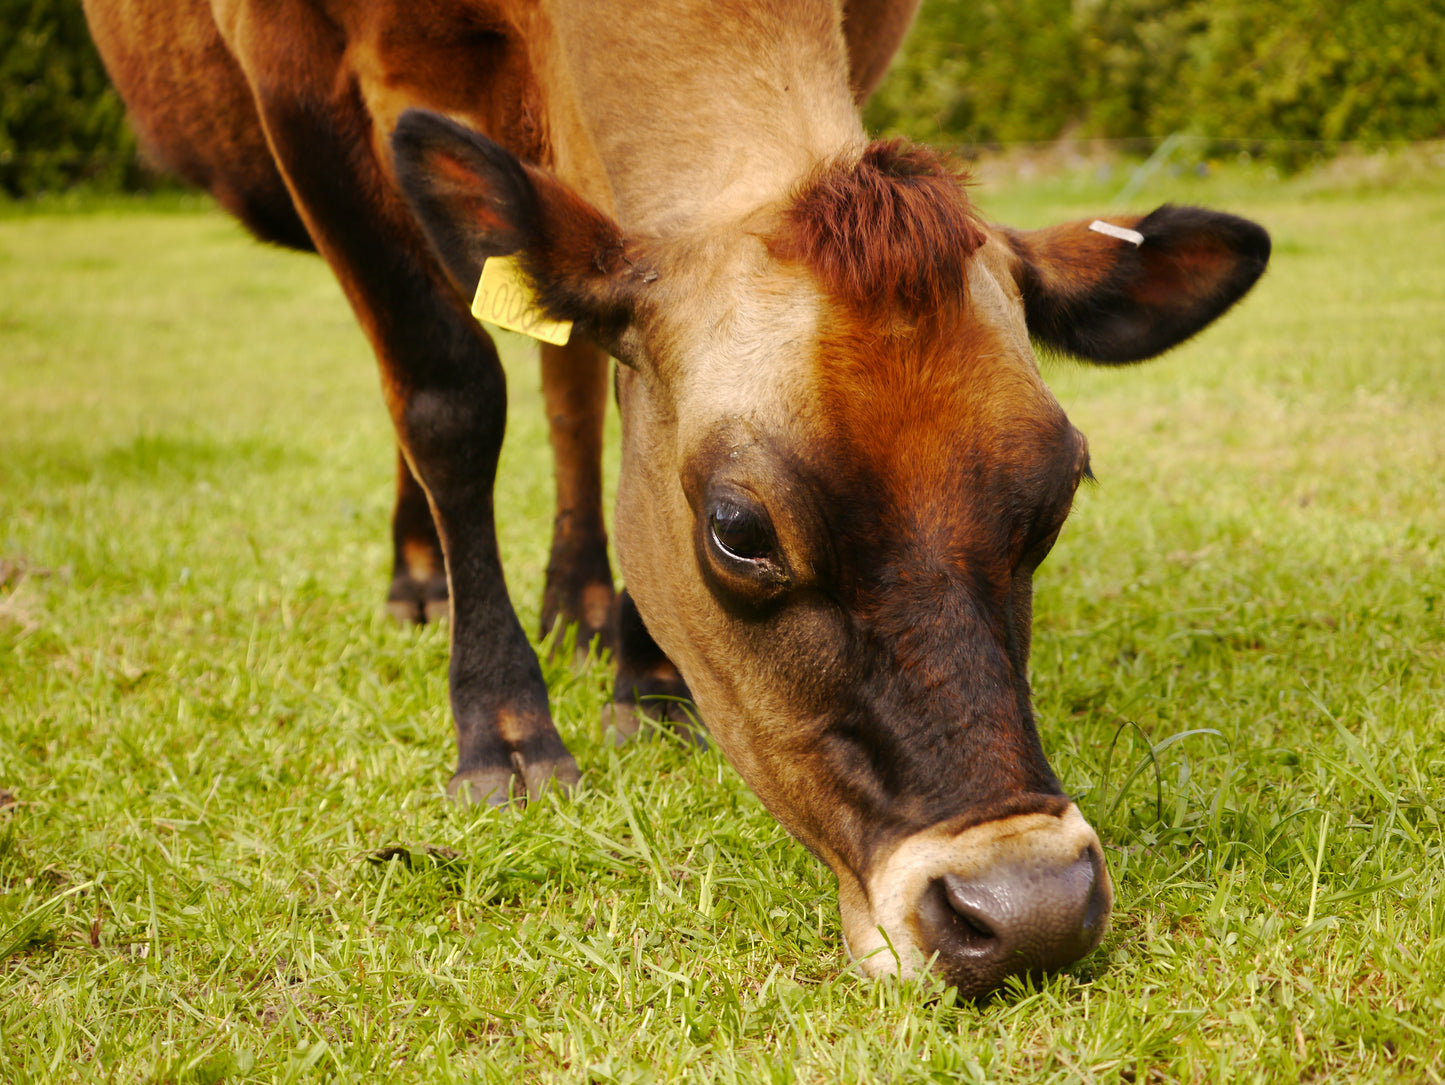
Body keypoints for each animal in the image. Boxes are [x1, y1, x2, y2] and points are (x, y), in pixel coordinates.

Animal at [84, 0, 1271, 999]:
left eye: (1056, 496)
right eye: (738, 530)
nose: (1027, 908)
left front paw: (649, 679)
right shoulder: (296, 68)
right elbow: (443, 388)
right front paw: (502, 727)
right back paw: (422, 578)